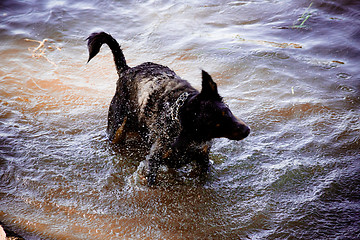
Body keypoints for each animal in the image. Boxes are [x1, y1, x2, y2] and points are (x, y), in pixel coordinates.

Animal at [87, 31, 250, 186]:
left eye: (227, 111)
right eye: (214, 123)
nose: (247, 130)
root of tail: (126, 70)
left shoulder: (202, 159)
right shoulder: (154, 160)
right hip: (116, 128)